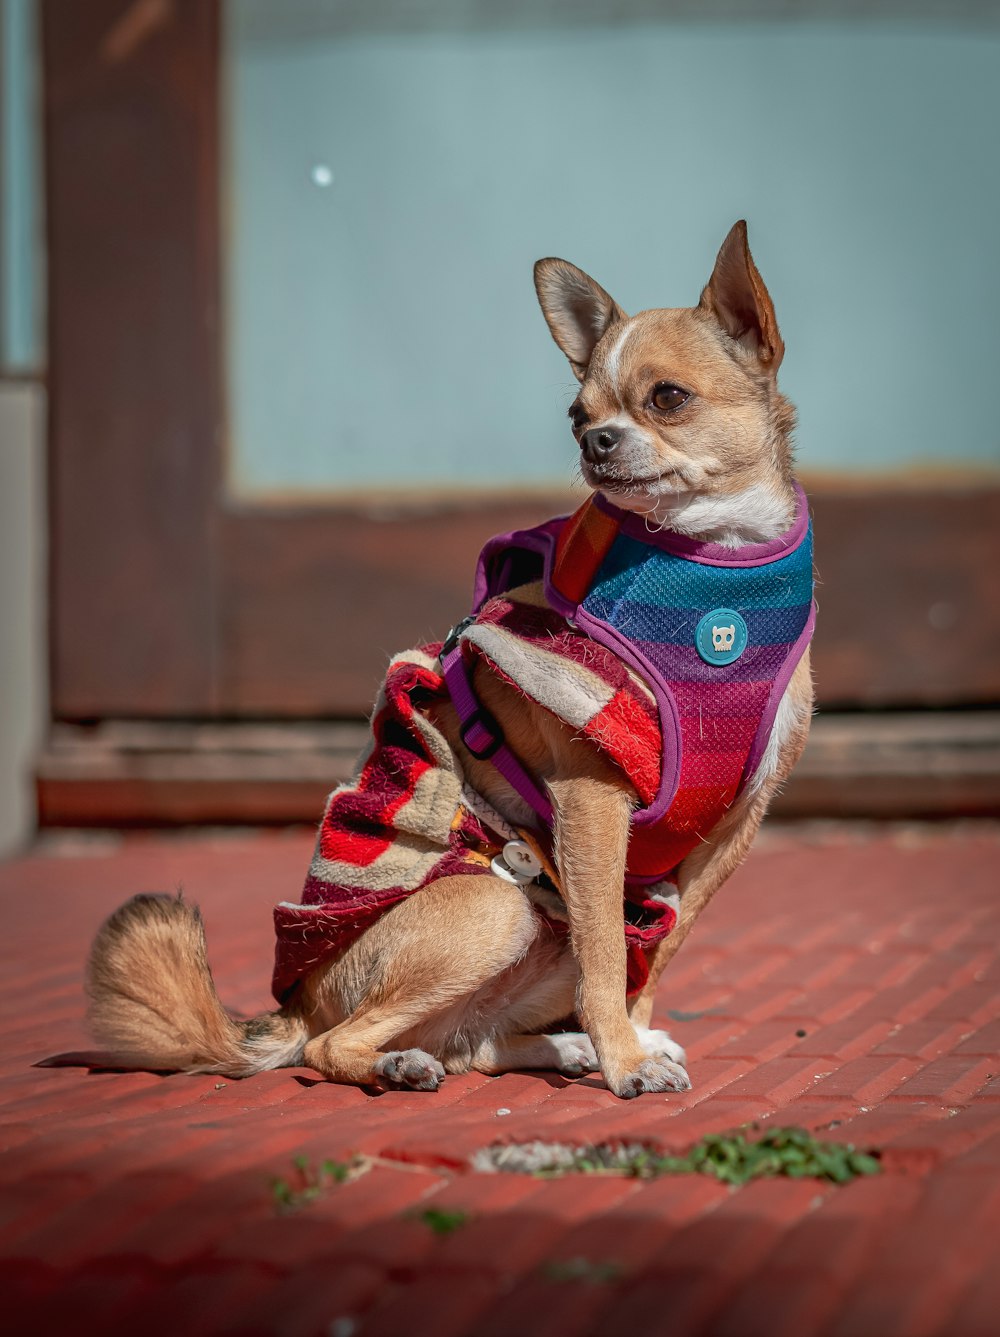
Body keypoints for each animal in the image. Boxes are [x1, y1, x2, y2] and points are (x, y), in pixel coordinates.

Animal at [76, 219, 812, 1096]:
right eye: (576, 413)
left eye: (668, 396)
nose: (595, 440)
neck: (710, 567)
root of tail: (297, 1003)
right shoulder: (592, 801)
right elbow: (609, 949)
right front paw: (624, 1058)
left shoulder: (730, 828)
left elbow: (656, 946)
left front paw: (629, 1037)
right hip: (494, 909)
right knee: (336, 1046)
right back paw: (403, 1062)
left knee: (473, 1041)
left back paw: (552, 1048)